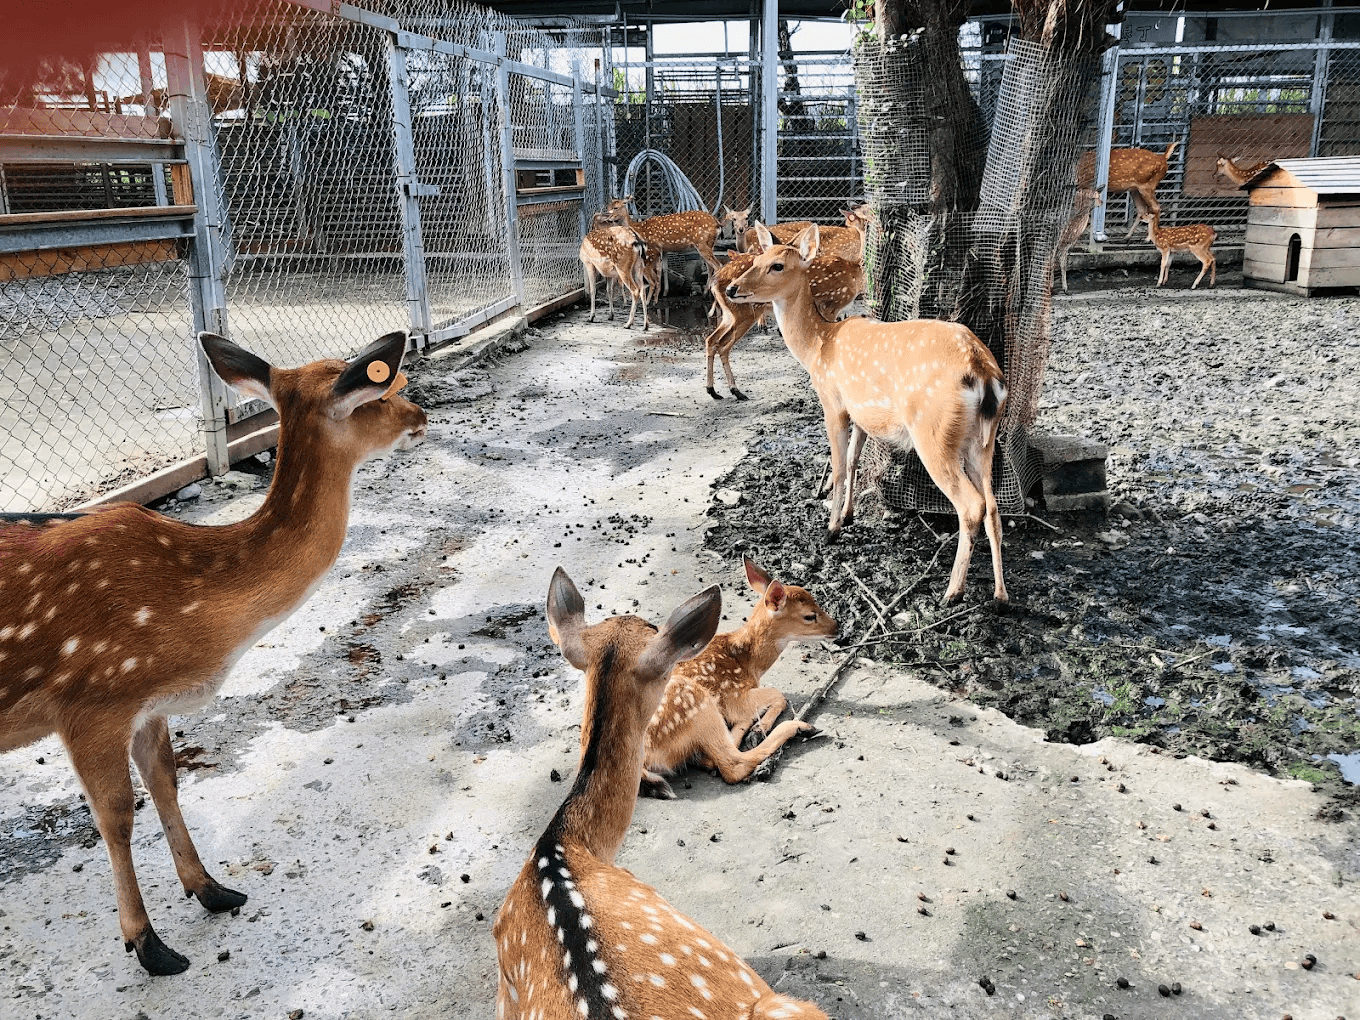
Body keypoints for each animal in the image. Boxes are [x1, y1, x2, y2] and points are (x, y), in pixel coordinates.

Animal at [0, 330, 427, 975]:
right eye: (382, 393)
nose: (422, 414)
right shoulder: (91, 699)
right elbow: (116, 816)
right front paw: (148, 945)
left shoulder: (147, 703)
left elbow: (166, 783)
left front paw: (212, 889)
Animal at [640, 558, 836, 798]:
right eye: (809, 615)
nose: (838, 628)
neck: (749, 663)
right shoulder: (733, 693)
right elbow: (778, 694)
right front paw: (759, 727)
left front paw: (756, 726)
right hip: (694, 701)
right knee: (730, 764)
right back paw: (798, 727)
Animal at [704, 243, 864, 401]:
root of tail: (714, 281)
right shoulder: (830, 305)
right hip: (744, 313)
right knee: (723, 345)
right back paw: (735, 390)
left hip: (729, 315)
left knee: (711, 340)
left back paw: (714, 390)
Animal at [730, 224, 1008, 603]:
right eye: (755, 259)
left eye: (777, 266)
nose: (732, 288)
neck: (817, 347)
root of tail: (981, 369)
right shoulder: (861, 412)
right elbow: (854, 459)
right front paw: (848, 516)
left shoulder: (833, 403)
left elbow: (838, 465)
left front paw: (831, 528)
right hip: (983, 437)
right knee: (993, 505)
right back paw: (1000, 596)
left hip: (934, 432)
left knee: (971, 505)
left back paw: (952, 592)